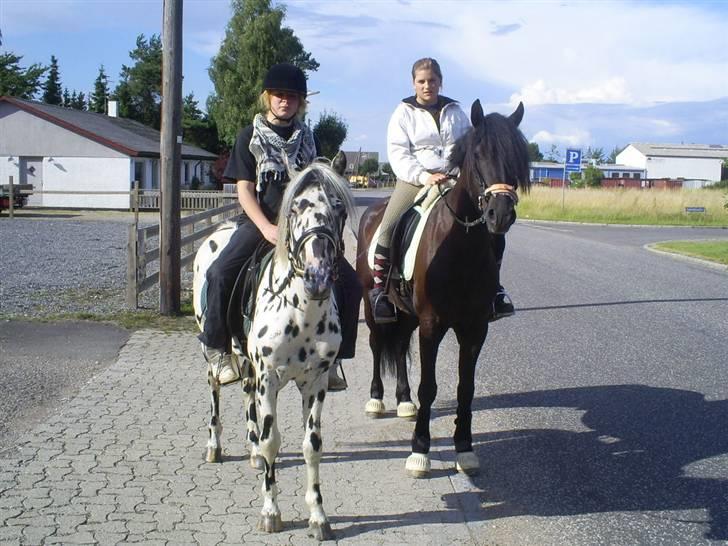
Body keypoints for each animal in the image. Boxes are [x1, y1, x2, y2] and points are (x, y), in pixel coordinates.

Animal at [191, 159, 356, 536]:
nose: (317, 278)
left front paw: (318, 516)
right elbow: (272, 442)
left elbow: (312, 445)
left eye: (339, 209)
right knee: (214, 387)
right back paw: (214, 445)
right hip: (213, 351)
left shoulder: (315, 382)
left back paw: (250, 450)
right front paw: (270, 512)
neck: (301, 311)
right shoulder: (270, 378)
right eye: (293, 209)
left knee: (246, 394)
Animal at [356, 100, 532, 474]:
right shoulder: (432, 324)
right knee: (378, 345)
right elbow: (429, 386)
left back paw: (403, 401)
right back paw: (377, 400)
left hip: (406, 312)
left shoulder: (475, 327)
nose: (500, 215)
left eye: (516, 156)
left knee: (399, 345)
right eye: (477, 154)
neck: (460, 245)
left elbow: (466, 387)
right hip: (371, 303)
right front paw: (420, 450)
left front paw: (464, 447)